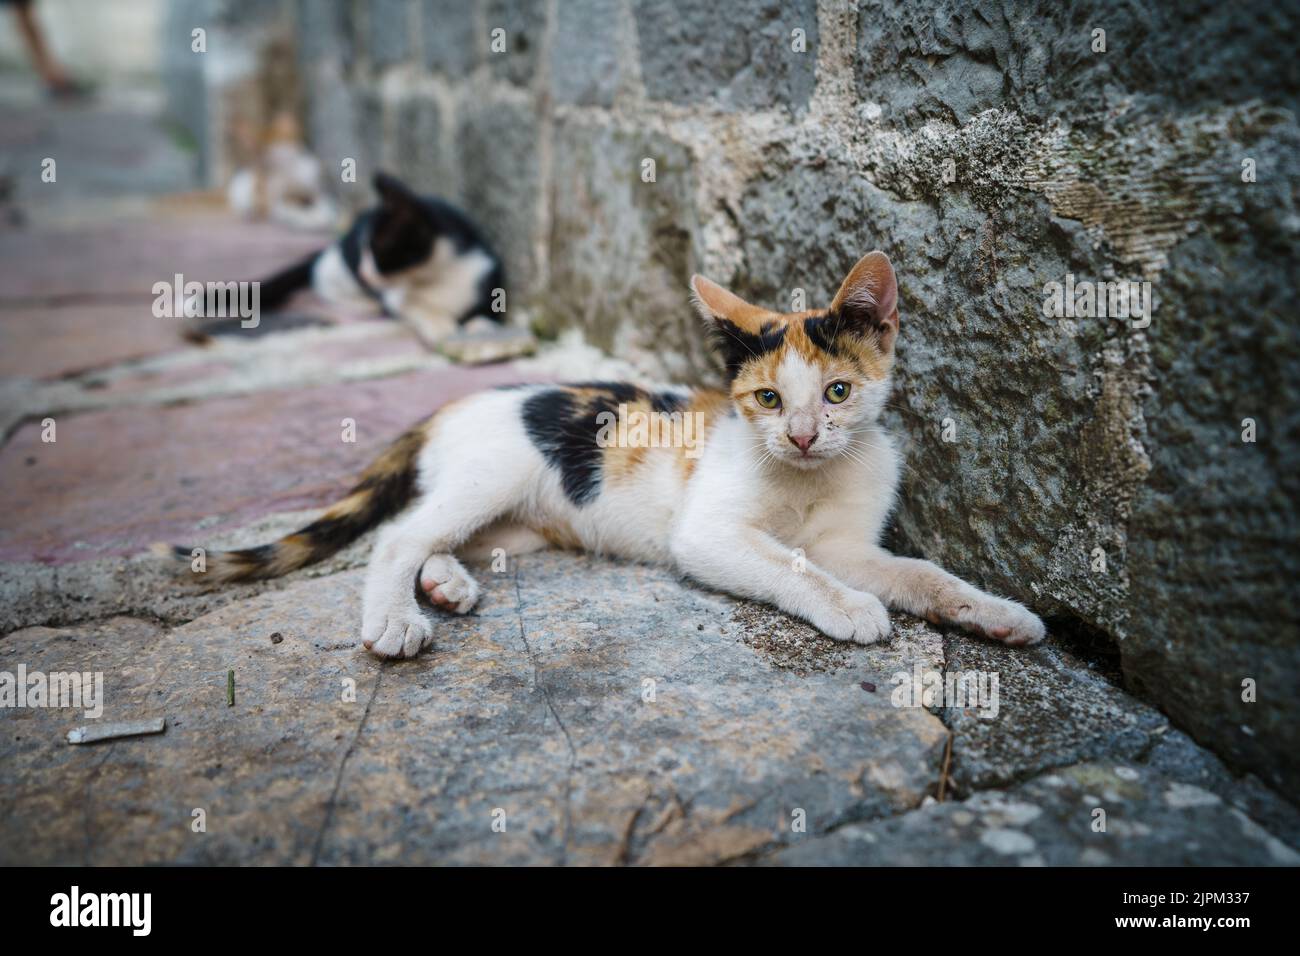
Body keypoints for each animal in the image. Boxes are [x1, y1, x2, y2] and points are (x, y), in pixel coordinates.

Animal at [170, 254, 1045, 658]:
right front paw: (851, 609)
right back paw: (396, 618)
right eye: (766, 400)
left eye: (836, 393)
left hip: (520, 521)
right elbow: (791, 564)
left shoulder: (847, 542)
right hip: (496, 472)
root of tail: (456, 403)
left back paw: (447, 584)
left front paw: (997, 613)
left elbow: (917, 573)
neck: (808, 478)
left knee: (438, 537)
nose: (801, 436)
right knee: (398, 534)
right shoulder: (711, 534)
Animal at [195, 171, 504, 348]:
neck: (436, 275)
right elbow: (412, 306)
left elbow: (485, 309)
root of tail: (334, 244)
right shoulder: (394, 295)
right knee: (321, 279)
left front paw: (480, 325)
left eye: (376, 249)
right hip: (335, 269)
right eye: (363, 249)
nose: (364, 271)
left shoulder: (487, 277)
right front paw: (440, 326)